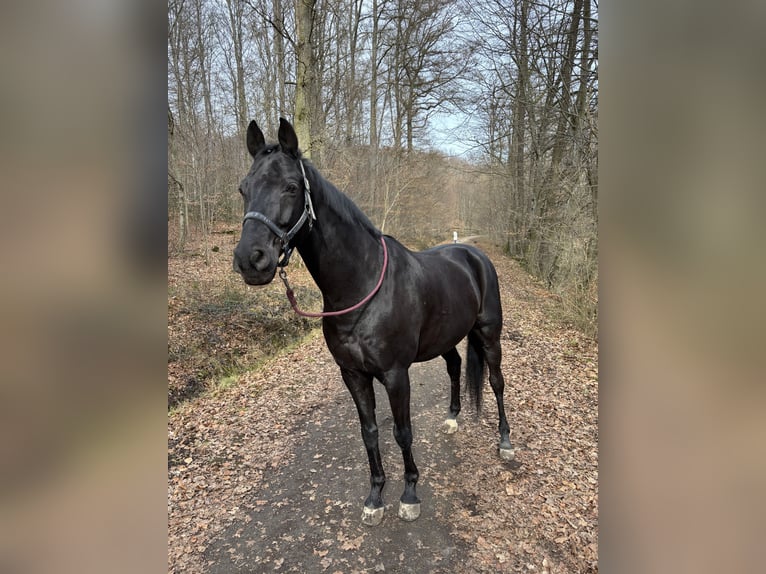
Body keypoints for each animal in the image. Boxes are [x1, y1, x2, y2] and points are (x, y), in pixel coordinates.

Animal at [231, 118, 512, 528]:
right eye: (243, 189)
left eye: (291, 187)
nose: (251, 260)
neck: (360, 288)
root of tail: (473, 254)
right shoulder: (353, 374)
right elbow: (370, 432)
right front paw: (376, 497)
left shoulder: (396, 374)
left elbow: (402, 432)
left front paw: (409, 495)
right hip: (445, 340)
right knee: (456, 366)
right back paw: (451, 420)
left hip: (490, 337)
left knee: (496, 383)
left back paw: (506, 442)